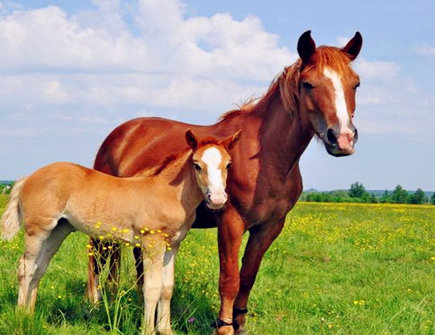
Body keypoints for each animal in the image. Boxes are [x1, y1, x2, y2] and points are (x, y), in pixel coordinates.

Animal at [0, 130, 242, 334]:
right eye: (197, 165)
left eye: (229, 165)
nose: (217, 199)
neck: (170, 193)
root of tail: (28, 177)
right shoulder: (152, 244)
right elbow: (151, 288)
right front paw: (147, 331)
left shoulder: (172, 245)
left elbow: (167, 288)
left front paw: (166, 330)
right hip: (38, 230)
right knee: (26, 267)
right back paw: (21, 317)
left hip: (58, 230)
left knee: (39, 268)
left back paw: (30, 314)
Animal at [87, 31, 362, 335]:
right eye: (309, 84)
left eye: (355, 84)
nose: (343, 138)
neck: (265, 157)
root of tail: (121, 133)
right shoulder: (231, 221)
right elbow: (229, 278)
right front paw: (225, 327)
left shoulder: (269, 227)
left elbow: (248, 276)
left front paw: (240, 324)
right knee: (96, 256)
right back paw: (96, 303)